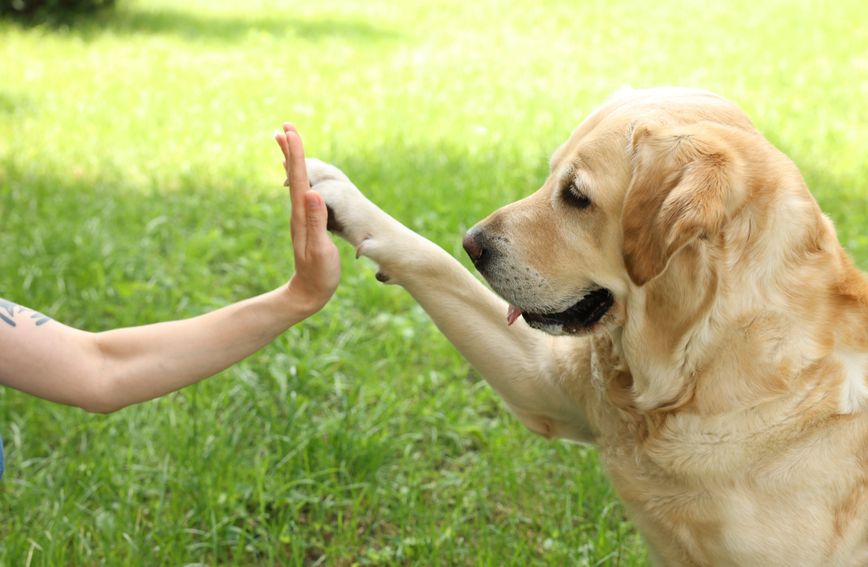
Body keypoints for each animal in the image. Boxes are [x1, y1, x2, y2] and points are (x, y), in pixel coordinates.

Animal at [306, 85, 868, 567]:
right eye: (550, 176)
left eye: (576, 196)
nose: (472, 243)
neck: (694, 369)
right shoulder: (544, 385)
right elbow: (430, 259)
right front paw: (337, 193)